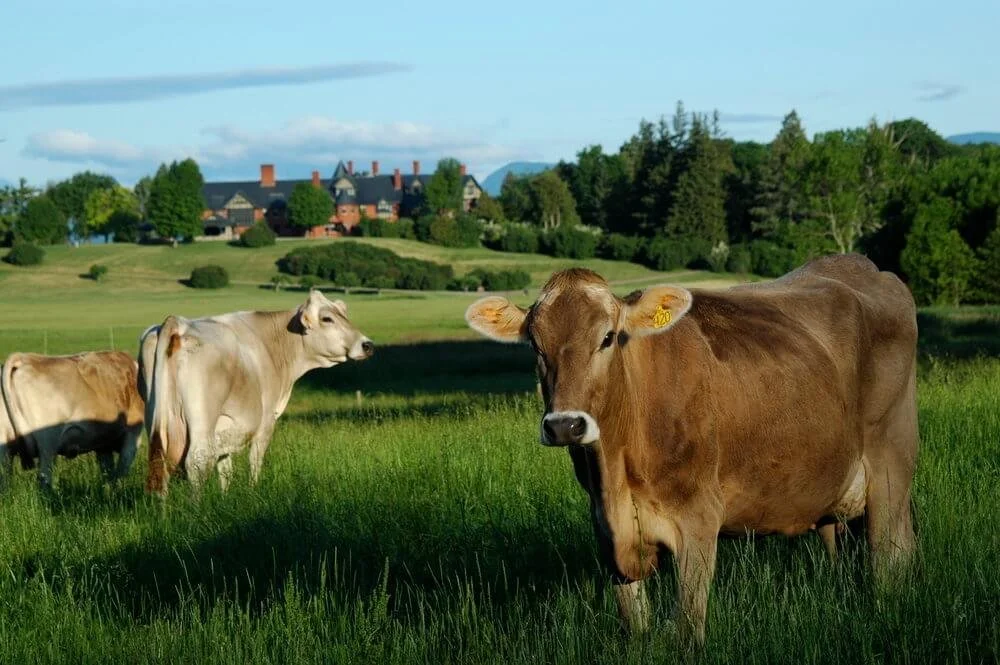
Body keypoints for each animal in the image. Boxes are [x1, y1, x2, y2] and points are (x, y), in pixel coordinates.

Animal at [0, 350, 145, 488]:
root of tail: (24, 359)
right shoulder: (132, 434)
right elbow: (121, 469)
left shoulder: (103, 443)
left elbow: (107, 472)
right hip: (47, 445)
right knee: (44, 478)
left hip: (5, 447)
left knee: (5, 478)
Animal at [140, 289, 374, 496]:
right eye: (327, 319)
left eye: (344, 315)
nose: (367, 345)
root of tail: (178, 324)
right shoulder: (266, 420)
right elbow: (255, 460)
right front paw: (254, 492)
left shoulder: (226, 427)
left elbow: (225, 469)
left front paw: (224, 499)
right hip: (201, 418)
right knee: (198, 461)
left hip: (156, 417)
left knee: (160, 465)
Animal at [464, 253, 919, 646]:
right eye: (535, 345)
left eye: (607, 338)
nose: (565, 424)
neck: (617, 473)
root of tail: (863, 266)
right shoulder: (606, 532)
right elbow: (634, 625)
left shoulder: (698, 517)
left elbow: (687, 627)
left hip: (890, 465)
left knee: (889, 560)